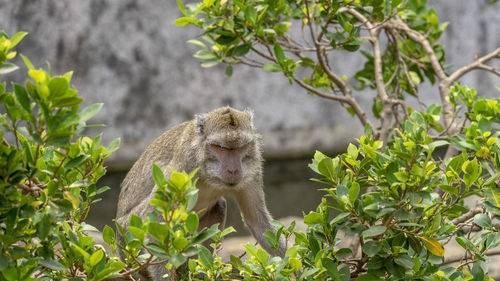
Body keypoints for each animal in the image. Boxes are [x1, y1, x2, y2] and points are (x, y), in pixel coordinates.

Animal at [114, 106, 286, 278]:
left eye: (240, 148)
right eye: (221, 148)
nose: (233, 170)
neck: (208, 172)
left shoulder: (252, 166)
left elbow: (257, 221)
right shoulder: (184, 165)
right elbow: (156, 218)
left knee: (219, 206)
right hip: (128, 236)